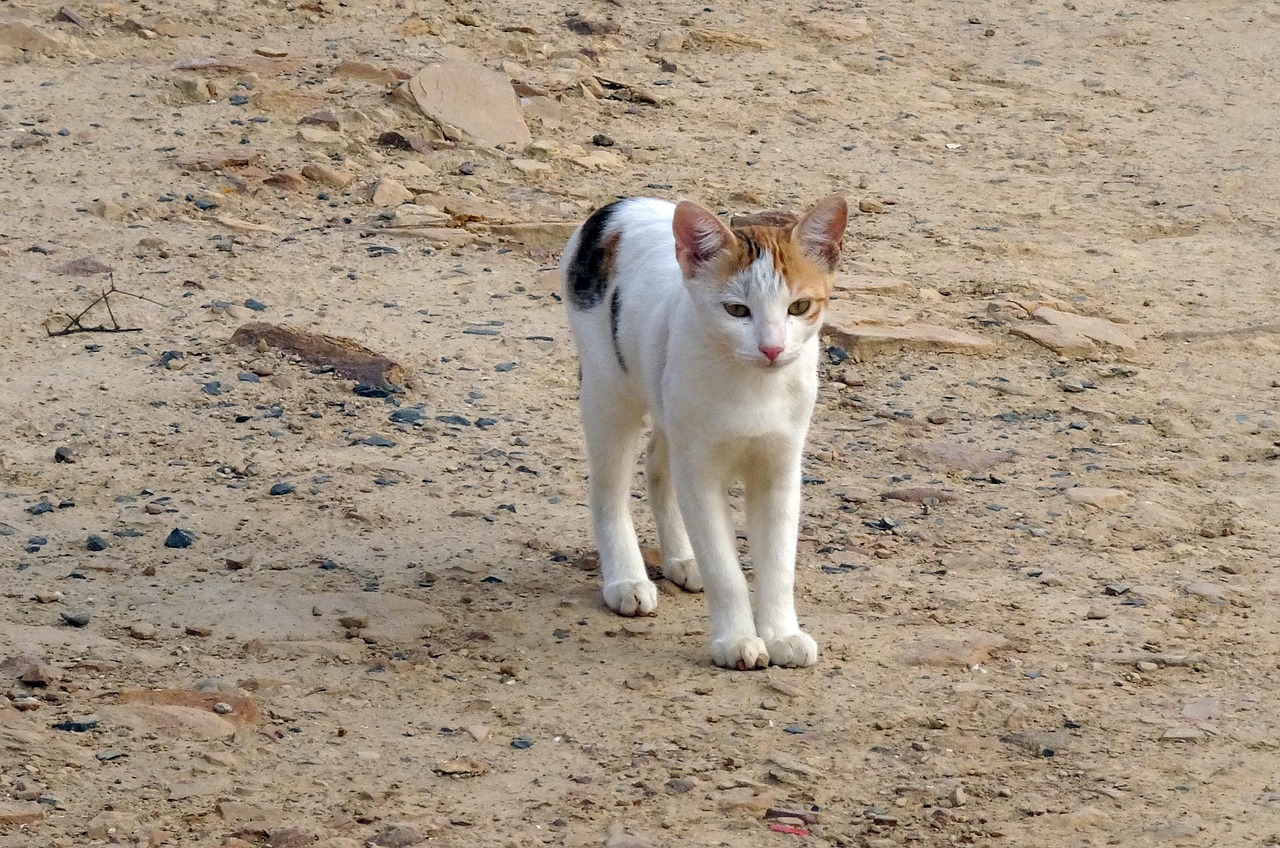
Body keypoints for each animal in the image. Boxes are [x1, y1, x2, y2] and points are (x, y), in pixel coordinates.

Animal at [563, 194, 849, 671]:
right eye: (736, 310)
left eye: (799, 307)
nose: (772, 348)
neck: (753, 388)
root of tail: (620, 205)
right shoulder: (700, 473)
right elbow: (725, 569)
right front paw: (736, 640)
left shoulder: (779, 472)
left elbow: (778, 565)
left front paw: (782, 635)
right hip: (608, 394)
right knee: (608, 490)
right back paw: (626, 579)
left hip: (668, 409)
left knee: (657, 467)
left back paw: (682, 557)